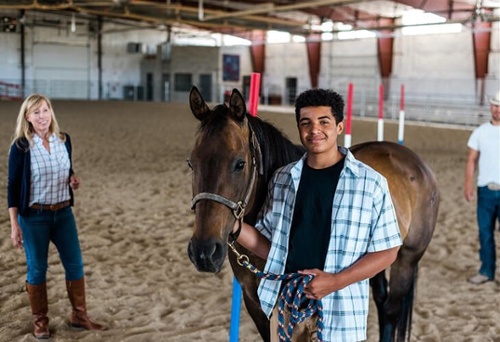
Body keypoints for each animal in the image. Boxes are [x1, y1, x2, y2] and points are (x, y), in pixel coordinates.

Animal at [187, 87, 438, 340]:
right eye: (191, 163)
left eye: (240, 164)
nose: (204, 252)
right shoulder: (256, 305)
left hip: (407, 258)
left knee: (391, 310)